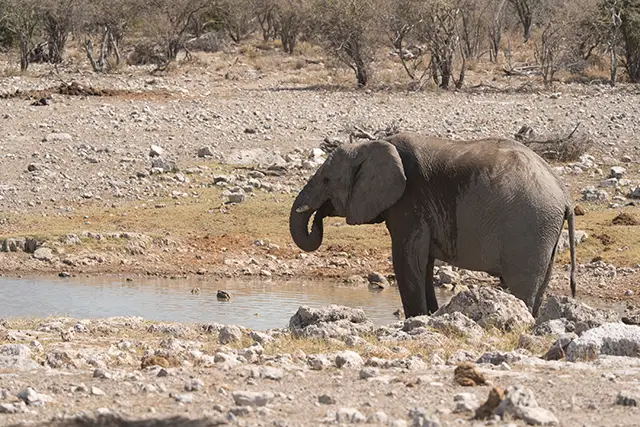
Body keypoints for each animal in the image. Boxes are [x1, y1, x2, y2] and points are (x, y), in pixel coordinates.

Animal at [289, 132, 577, 318]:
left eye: (326, 180)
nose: (317, 217)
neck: (370, 145)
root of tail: (565, 195)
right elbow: (423, 263)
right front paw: (429, 316)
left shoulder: (410, 202)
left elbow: (407, 259)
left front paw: (416, 320)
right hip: (544, 231)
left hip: (530, 228)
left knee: (521, 284)